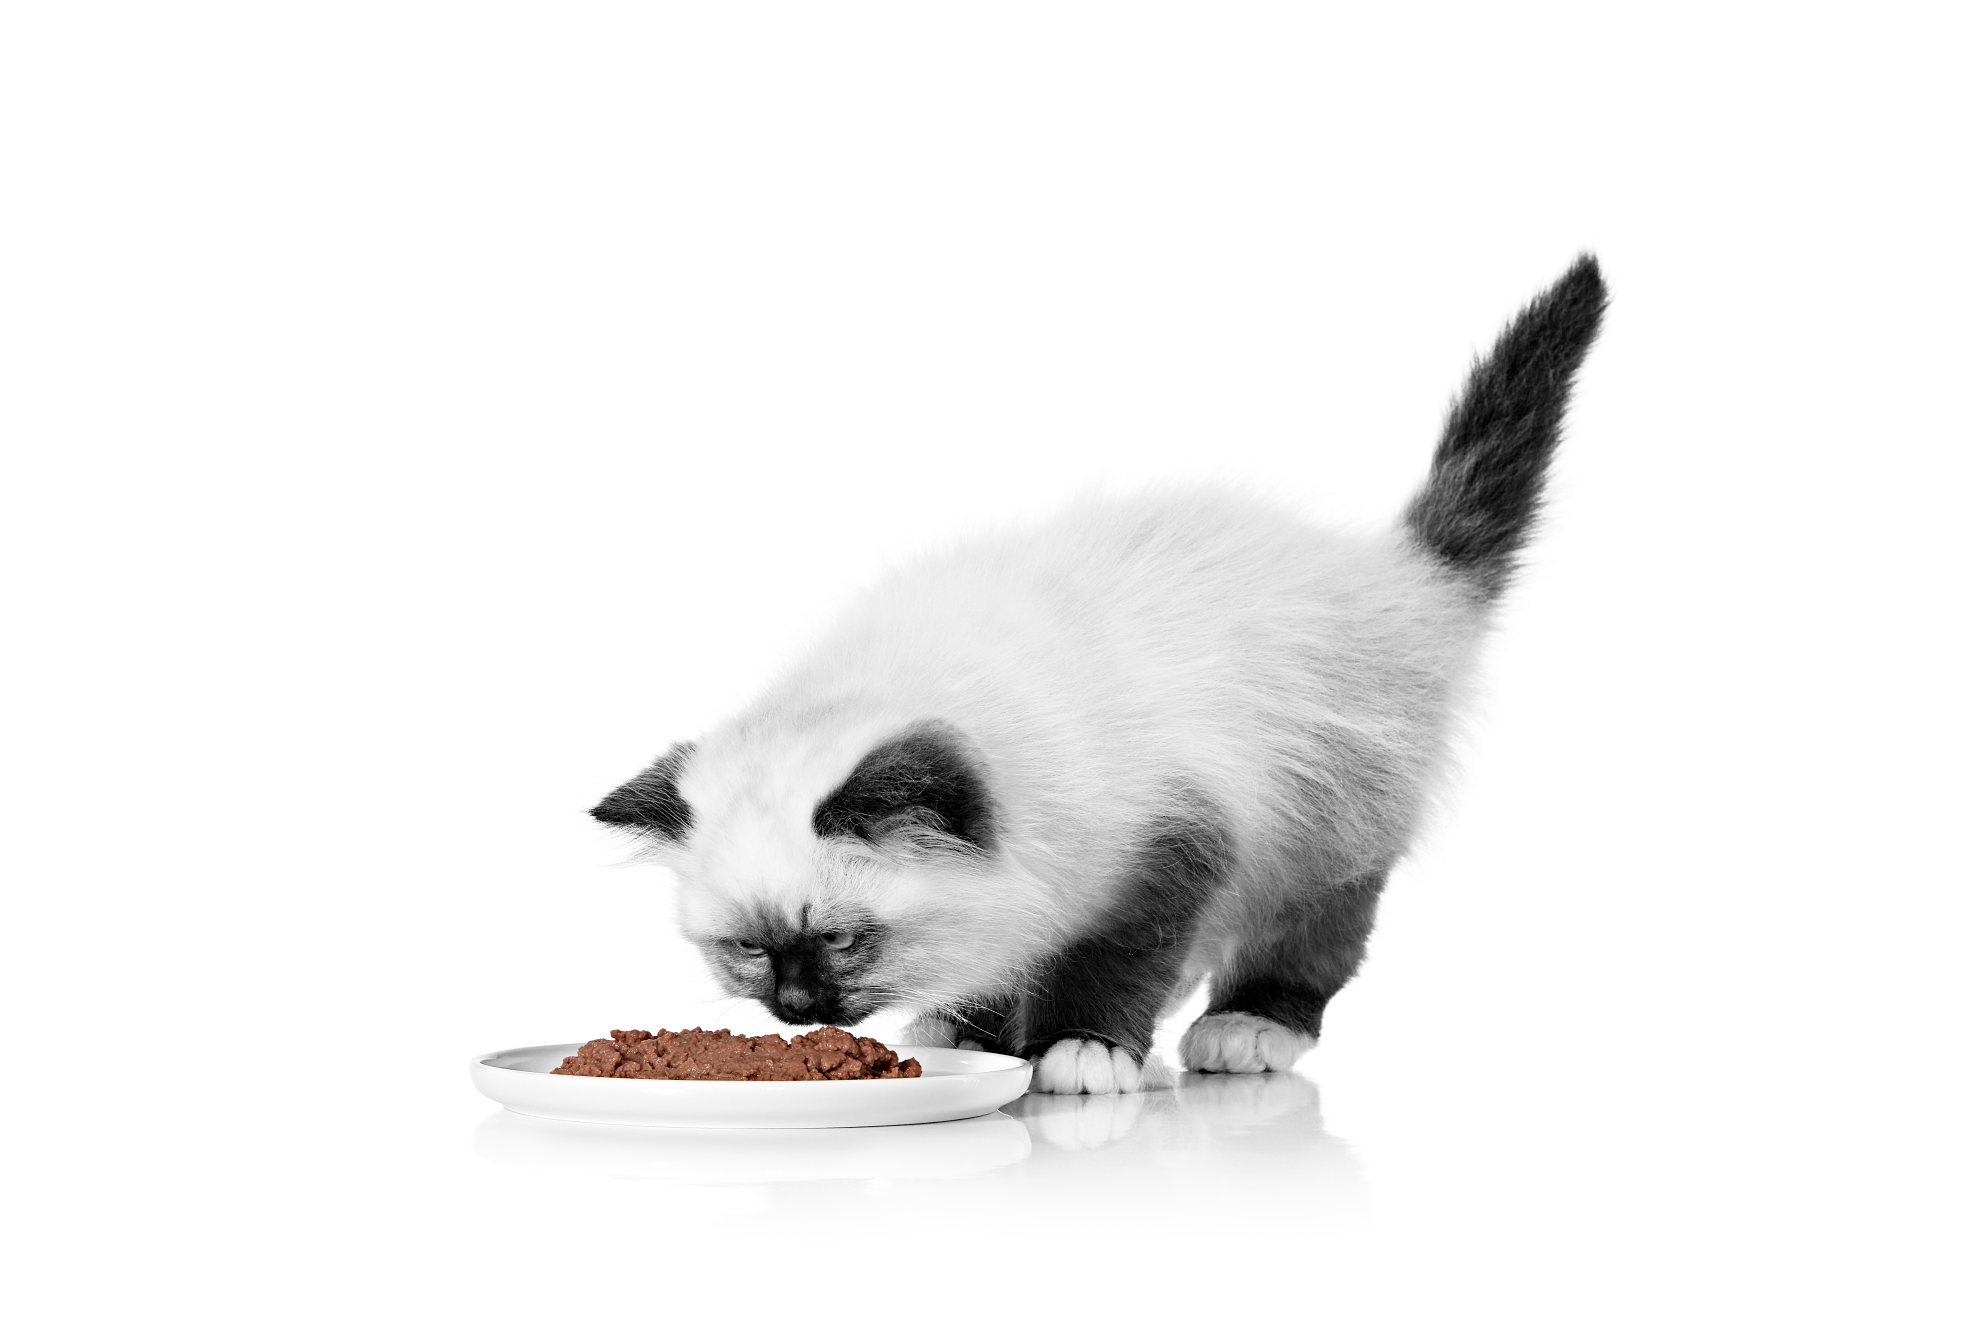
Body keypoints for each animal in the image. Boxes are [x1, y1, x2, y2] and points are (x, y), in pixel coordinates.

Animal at [590, 255, 1607, 1092]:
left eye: (839, 939)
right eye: (747, 950)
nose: (796, 1012)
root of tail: (1398, 574)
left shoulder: (1175, 842)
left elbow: (1116, 957)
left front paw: (1080, 1051)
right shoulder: (1038, 881)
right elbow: (1013, 955)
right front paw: (973, 1034)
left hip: (1320, 827)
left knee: (1310, 937)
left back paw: (1248, 1030)